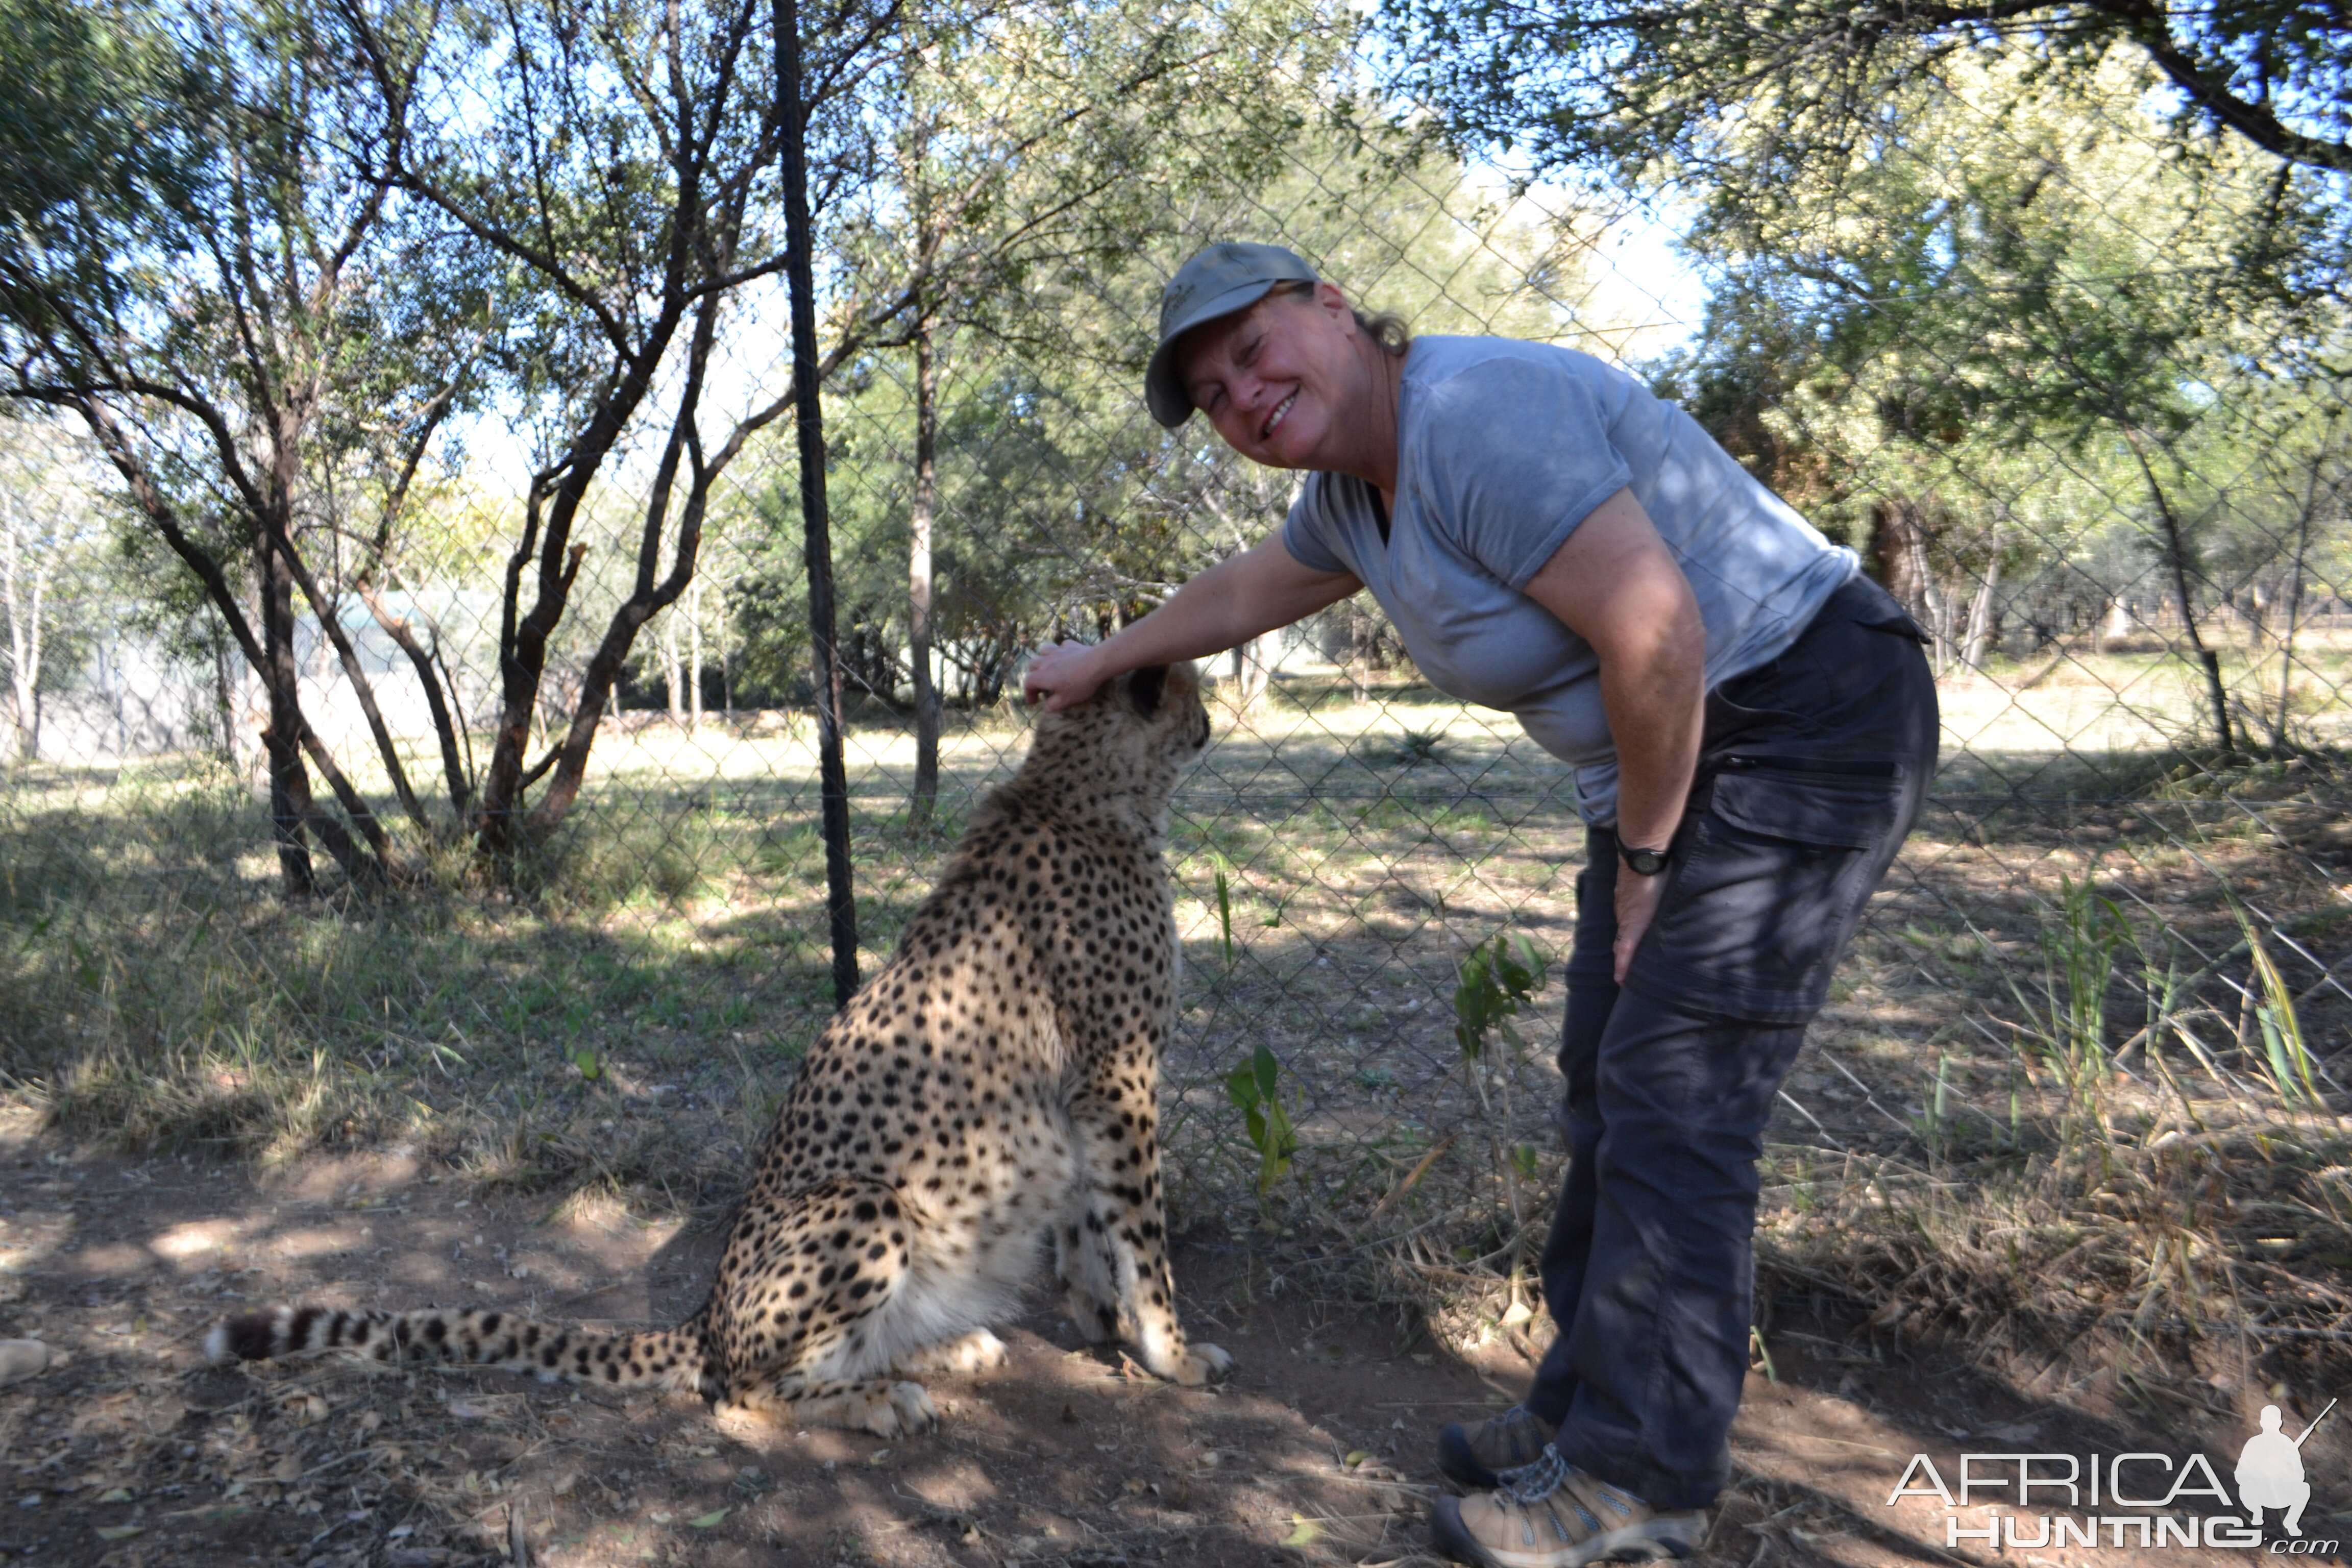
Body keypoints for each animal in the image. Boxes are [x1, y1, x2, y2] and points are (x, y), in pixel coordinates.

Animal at [211, 663, 1232, 1438]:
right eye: (1188, 685)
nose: (1213, 718)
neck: (1084, 787)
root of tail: (703, 1316)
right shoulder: (1118, 1077)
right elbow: (1140, 1233)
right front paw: (1170, 1351)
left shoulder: (1085, 1094)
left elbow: (1091, 1224)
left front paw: (1105, 1322)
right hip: (863, 1203)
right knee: (743, 1392)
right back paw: (881, 1398)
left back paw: (943, 1347)